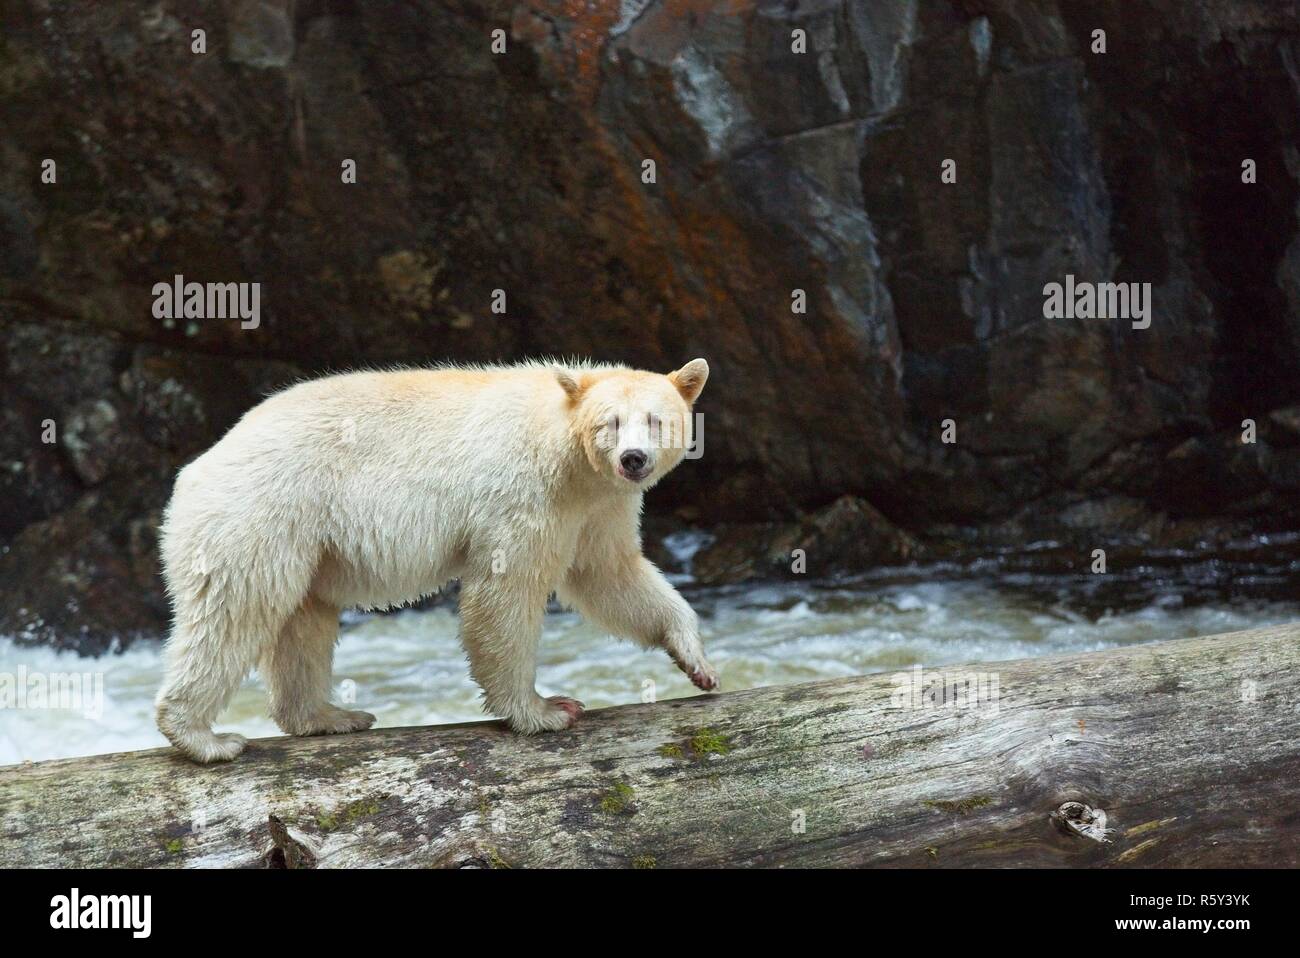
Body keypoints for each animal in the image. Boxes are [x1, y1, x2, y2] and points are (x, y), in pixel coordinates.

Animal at [159, 358, 722, 764]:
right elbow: (505, 591)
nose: (633, 459)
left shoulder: (597, 506)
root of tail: (200, 463)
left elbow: (609, 573)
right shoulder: (526, 492)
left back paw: (328, 715)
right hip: (263, 511)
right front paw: (544, 711)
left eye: (657, 420)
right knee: (238, 610)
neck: (565, 449)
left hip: (305, 540)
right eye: (611, 422)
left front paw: (697, 663)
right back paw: (204, 738)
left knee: (304, 620)